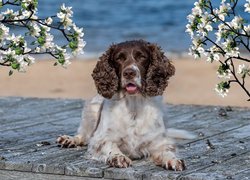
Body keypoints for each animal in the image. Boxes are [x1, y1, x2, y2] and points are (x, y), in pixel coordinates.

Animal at [56, 40, 193, 171]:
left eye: (141, 56)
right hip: (91, 109)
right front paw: (118, 157)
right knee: (83, 135)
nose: (129, 73)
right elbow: (109, 144)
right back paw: (69, 139)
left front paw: (173, 160)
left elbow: (167, 150)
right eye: (119, 58)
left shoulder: (159, 141)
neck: (133, 106)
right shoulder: (99, 139)